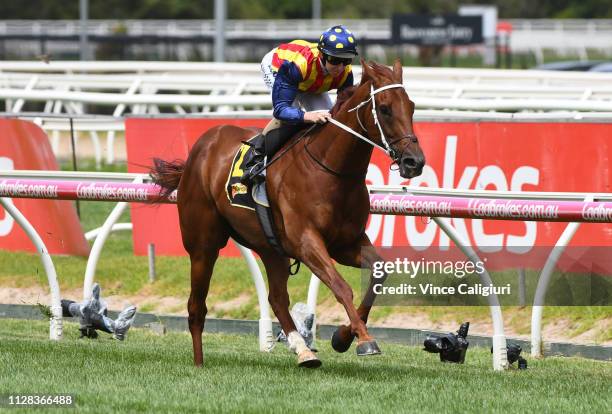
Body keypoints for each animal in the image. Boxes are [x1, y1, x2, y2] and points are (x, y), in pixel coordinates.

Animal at [150, 57, 424, 366]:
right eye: (386, 108)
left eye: (411, 106)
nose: (415, 162)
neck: (332, 171)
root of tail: (204, 144)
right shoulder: (306, 242)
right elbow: (341, 286)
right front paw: (364, 339)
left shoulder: (346, 243)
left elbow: (379, 272)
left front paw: (343, 337)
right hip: (203, 245)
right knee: (197, 305)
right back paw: (199, 362)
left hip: (271, 249)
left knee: (277, 299)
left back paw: (303, 350)